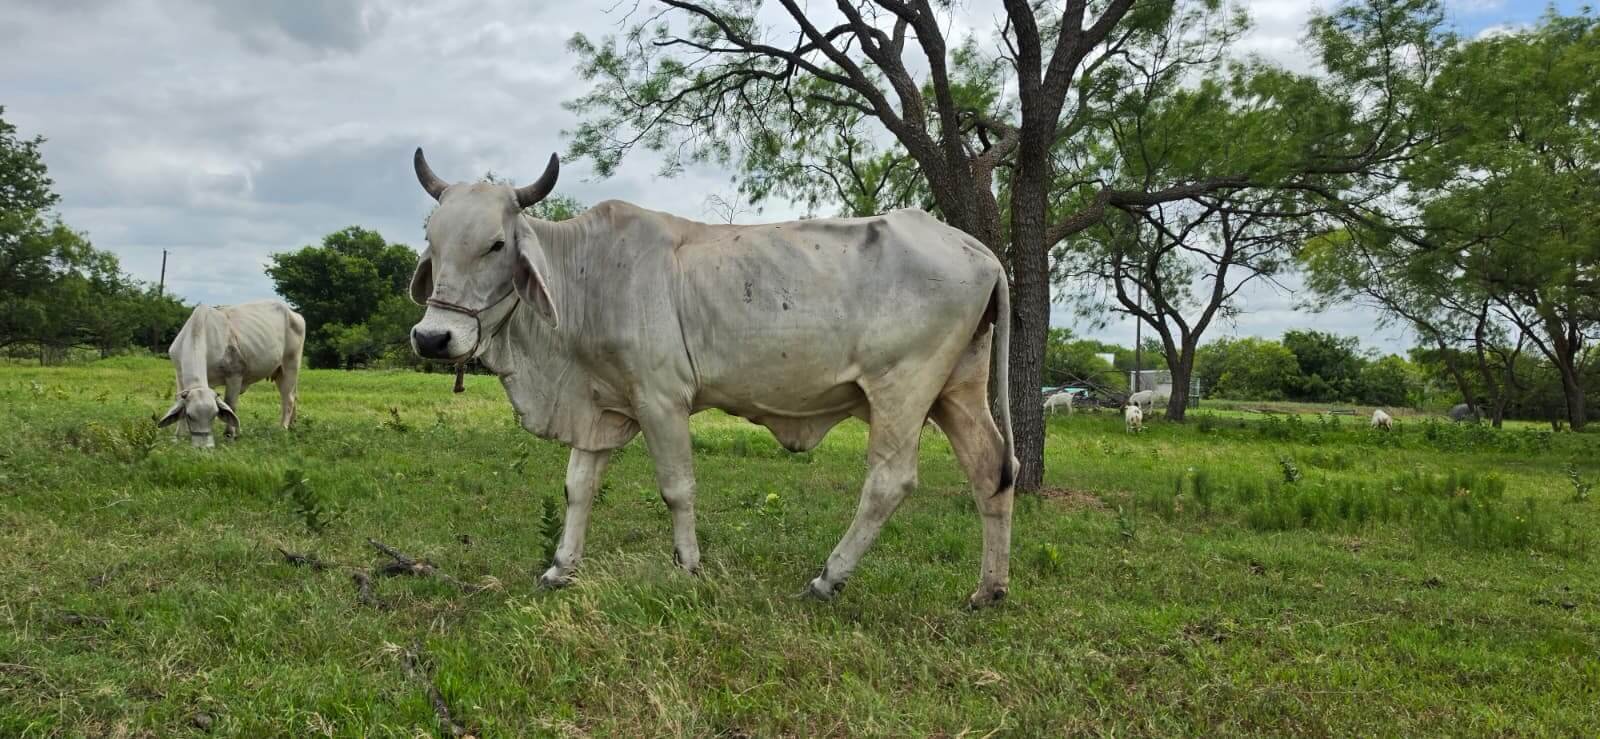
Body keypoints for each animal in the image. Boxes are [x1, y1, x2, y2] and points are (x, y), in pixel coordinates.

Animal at [158, 301, 305, 448]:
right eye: (189, 416)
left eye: (215, 415)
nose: (204, 446)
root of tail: (293, 313)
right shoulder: (179, 374)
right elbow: (179, 402)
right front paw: (179, 435)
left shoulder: (235, 375)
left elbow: (231, 405)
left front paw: (229, 435)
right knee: (295, 396)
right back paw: (293, 426)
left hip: (290, 366)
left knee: (288, 399)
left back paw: (283, 428)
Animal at [406, 149, 1018, 607]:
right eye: (432, 242)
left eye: (496, 244)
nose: (433, 338)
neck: (586, 275)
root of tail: (981, 251)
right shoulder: (603, 404)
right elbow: (578, 486)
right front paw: (560, 568)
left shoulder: (660, 399)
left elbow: (677, 487)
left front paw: (688, 567)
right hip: (957, 390)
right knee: (992, 470)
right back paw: (988, 591)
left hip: (902, 389)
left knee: (889, 482)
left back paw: (827, 579)